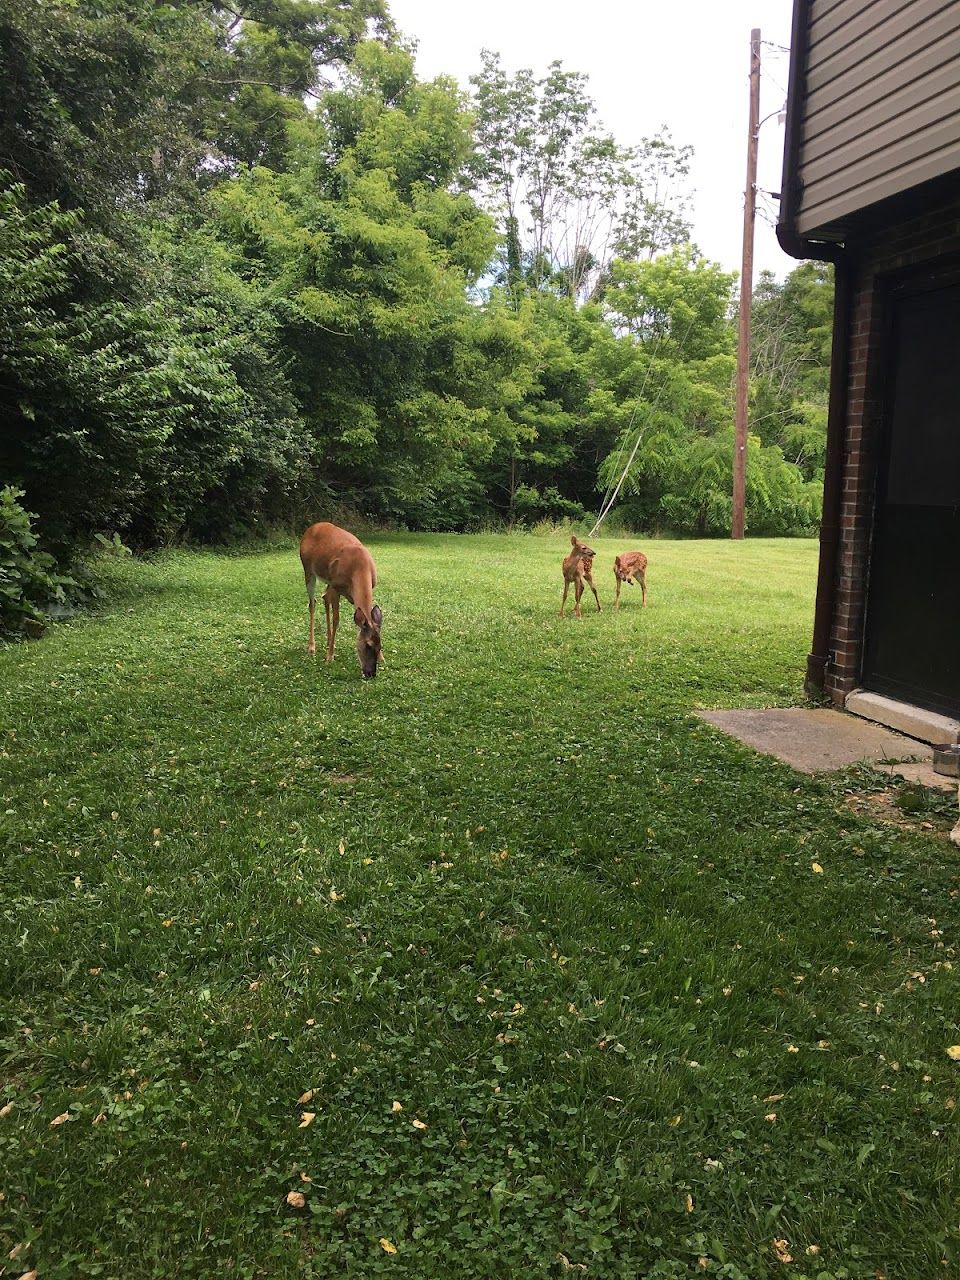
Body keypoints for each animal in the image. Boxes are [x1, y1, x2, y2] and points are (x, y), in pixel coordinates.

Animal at [304, 519, 386, 680]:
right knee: (312, 603)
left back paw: (329, 641)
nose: (370, 673)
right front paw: (329, 657)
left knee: (324, 597)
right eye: (367, 645)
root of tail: (311, 528)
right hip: (308, 570)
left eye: (380, 646)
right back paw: (312, 647)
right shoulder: (337, 587)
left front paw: (382, 658)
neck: (359, 568)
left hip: (328, 579)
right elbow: (337, 619)